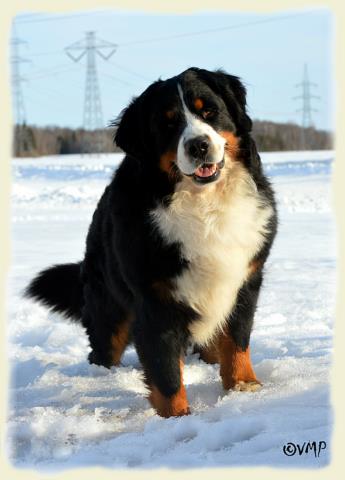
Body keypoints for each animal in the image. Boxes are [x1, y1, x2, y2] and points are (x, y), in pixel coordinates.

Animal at [25, 66, 276, 416]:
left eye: (209, 112)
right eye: (168, 124)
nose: (199, 145)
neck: (204, 206)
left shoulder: (244, 281)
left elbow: (236, 340)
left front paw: (243, 386)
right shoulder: (155, 299)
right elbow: (165, 369)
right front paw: (177, 417)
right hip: (109, 311)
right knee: (105, 348)